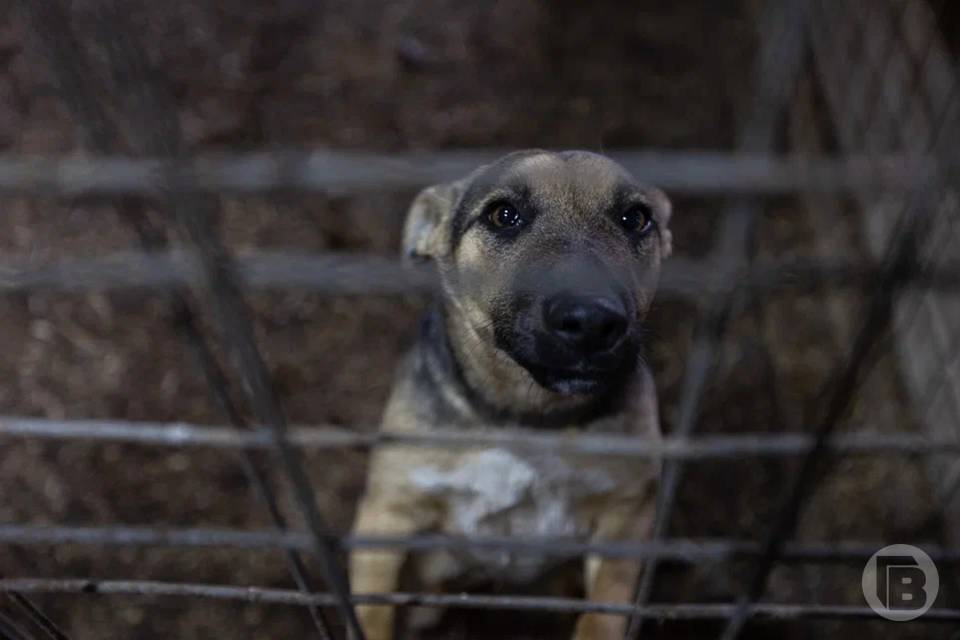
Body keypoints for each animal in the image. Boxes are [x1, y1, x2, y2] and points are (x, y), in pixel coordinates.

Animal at [348, 150, 672, 640]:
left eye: (635, 218)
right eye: (503, 215)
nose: (592, 320)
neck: (523, 417)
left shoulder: (627, 513)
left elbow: (603, 613)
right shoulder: (387, 514)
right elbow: (371, 613)